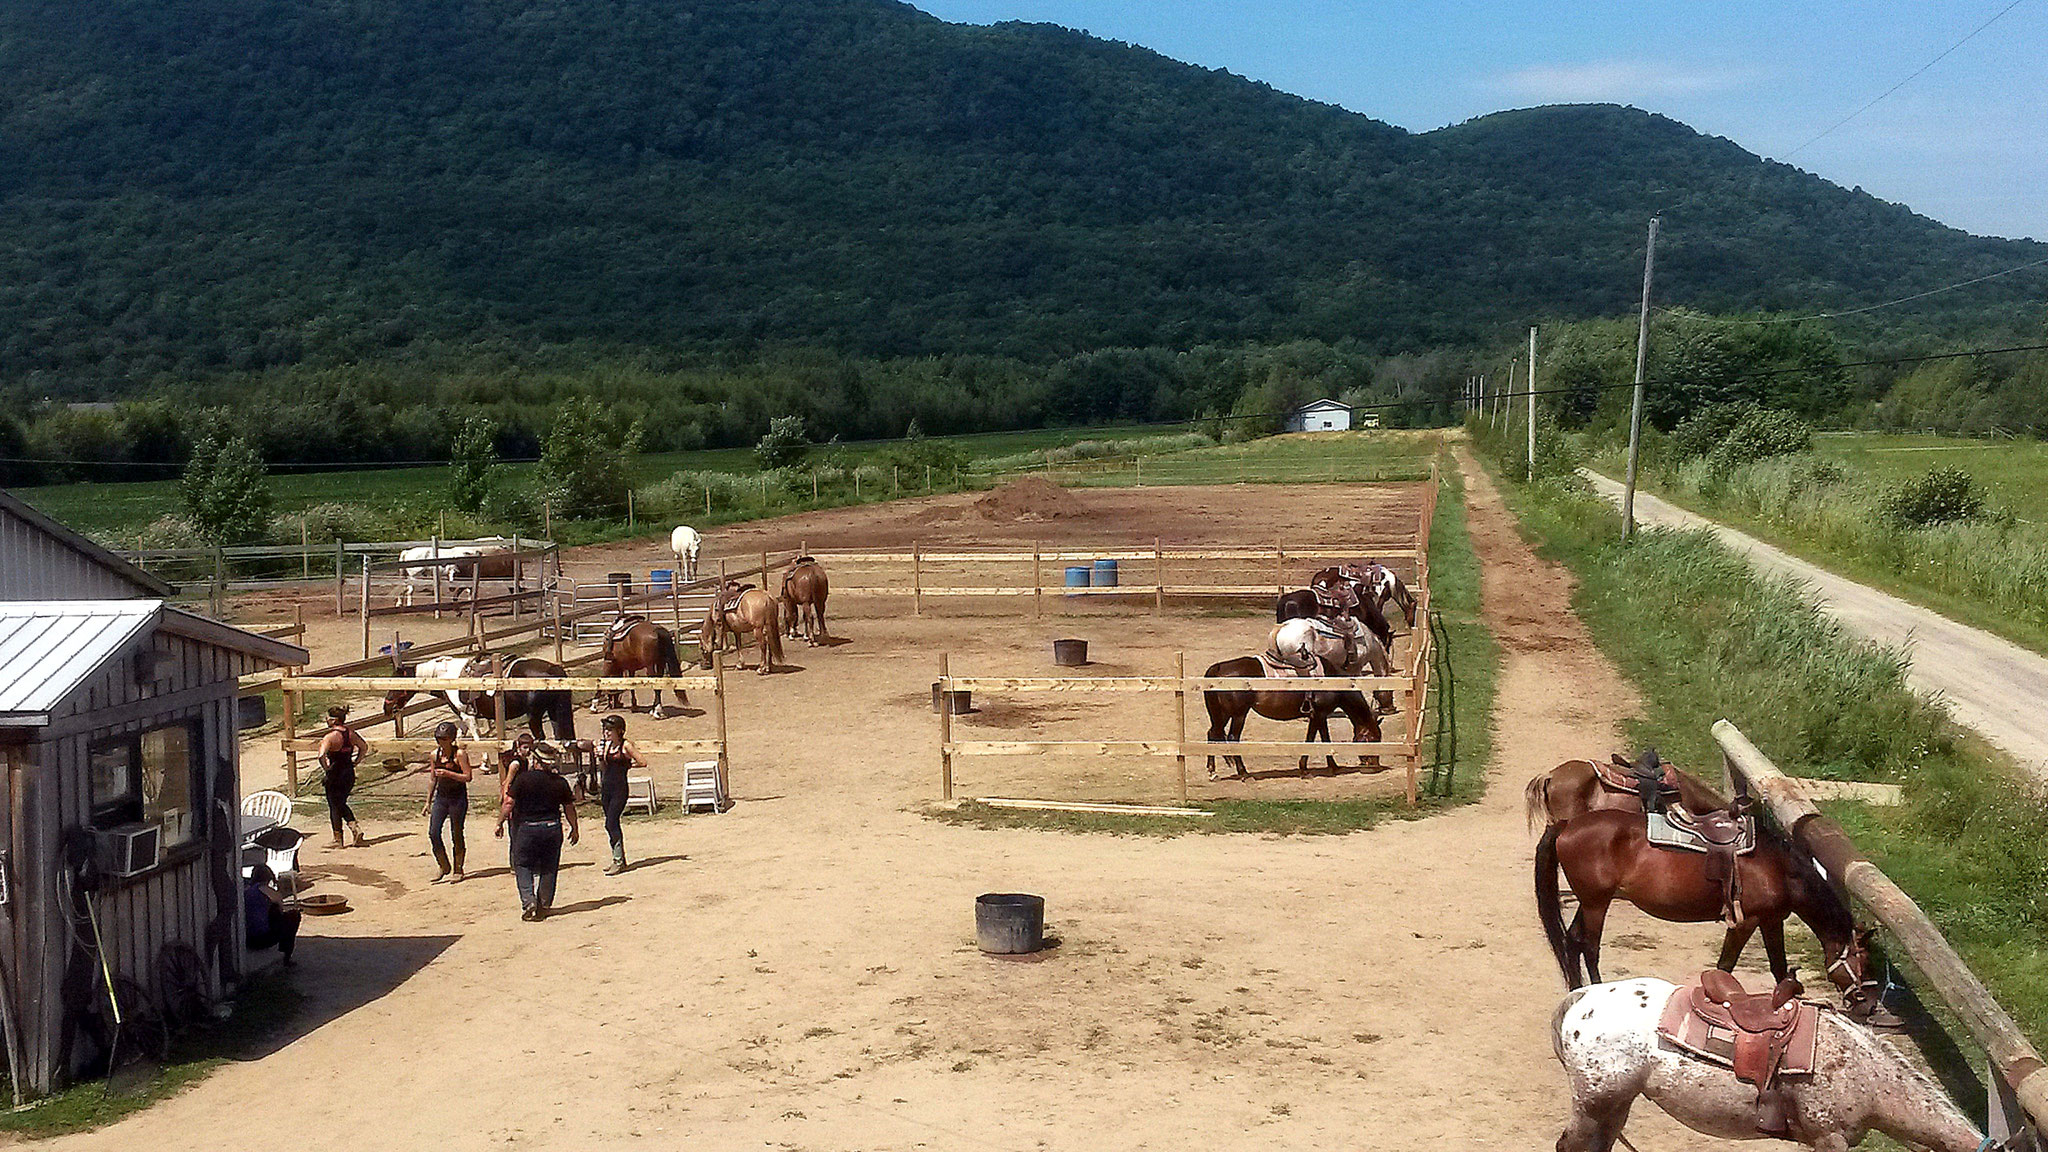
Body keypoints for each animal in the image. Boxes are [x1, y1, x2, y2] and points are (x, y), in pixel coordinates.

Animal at [1196, 651, 1384, 774]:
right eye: (1374, 739)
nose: (1374, 765)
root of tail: (1218, 669)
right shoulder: (1319, 714)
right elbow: (1318, 738)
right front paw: (1318, 767)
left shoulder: (1317, 715)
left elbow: (1317, 738)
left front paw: (1319, 766)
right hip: (1238, 714)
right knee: (1233, 738)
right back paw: (1243, 772)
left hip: (1222, 714)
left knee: (1212, 733)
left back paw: (1212, 771)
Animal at [1531, 803, 1875, 1008]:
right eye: (1863, 960)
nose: (1869, 1005)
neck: (1777, 866)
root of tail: (1566, 825)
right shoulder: (1747, 921)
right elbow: (1726, 965)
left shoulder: (1770, 920)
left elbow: (1778, 968)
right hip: (1596, 904)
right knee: (1589, 947)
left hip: (1591, 901)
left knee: (1572, 941)